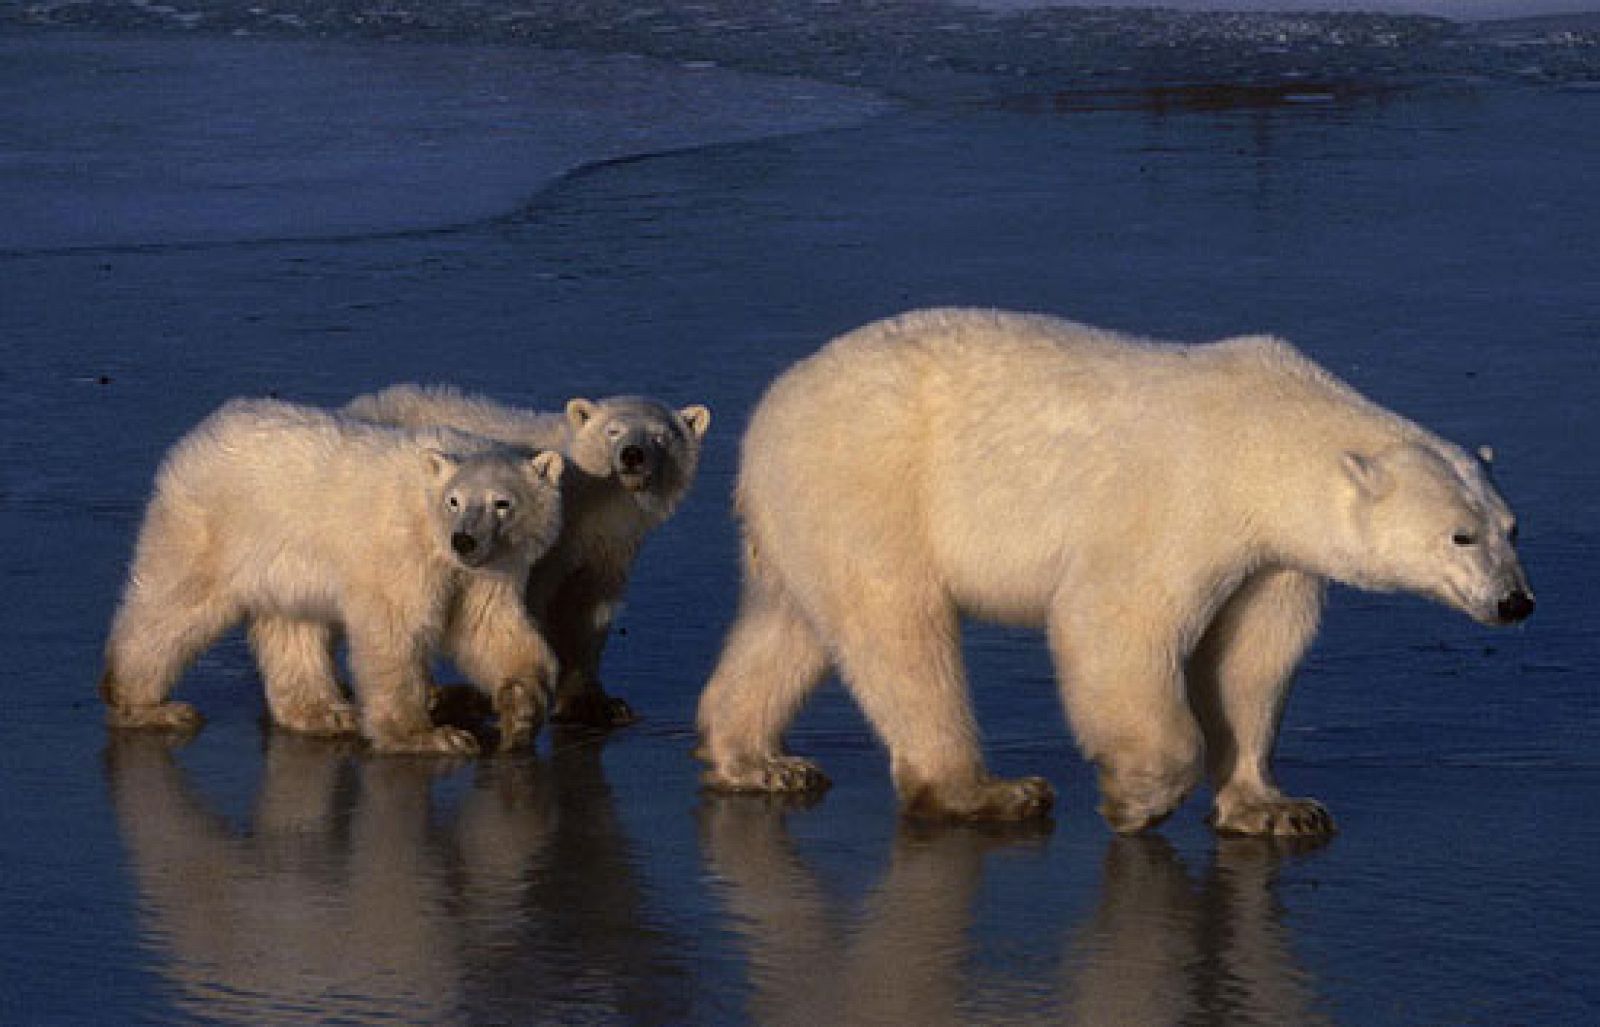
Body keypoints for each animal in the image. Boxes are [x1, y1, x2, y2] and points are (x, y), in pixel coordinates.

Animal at [98, 398, 563, 751]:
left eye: (501, 502)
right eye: (454, 500)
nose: (463, 539)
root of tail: (198, 436)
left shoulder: (491, 567)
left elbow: (487, 626)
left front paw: (520, 709)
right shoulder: (402, 550)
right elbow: (395, 629)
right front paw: (430, 736)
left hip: (282, 561)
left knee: (293, 627)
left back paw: (326, 712)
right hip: (212, 529)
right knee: (173, 608)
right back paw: (148, 705)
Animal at [350, 387, 713, 723]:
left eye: (660, 436)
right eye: (613, 430)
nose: (632, 454)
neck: (586, 495)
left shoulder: (609, 547)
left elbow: (590, 608)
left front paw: (596, 702)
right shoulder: (543, 546)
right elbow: (531, 603)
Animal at [694, 305, 1529, 831]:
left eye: (1509, 527)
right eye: (1460, 536)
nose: (1515, 602)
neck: (1268, 433)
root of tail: (770, 410)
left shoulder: (1273, 555)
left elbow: (1254, 659)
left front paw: (1275, 807)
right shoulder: (1182, 500)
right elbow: (1117, 621)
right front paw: (1138, 796)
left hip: (803, 515)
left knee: (789, 622)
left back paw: (756, 758)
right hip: (870, 485)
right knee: (900, 630)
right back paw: (987, 791)